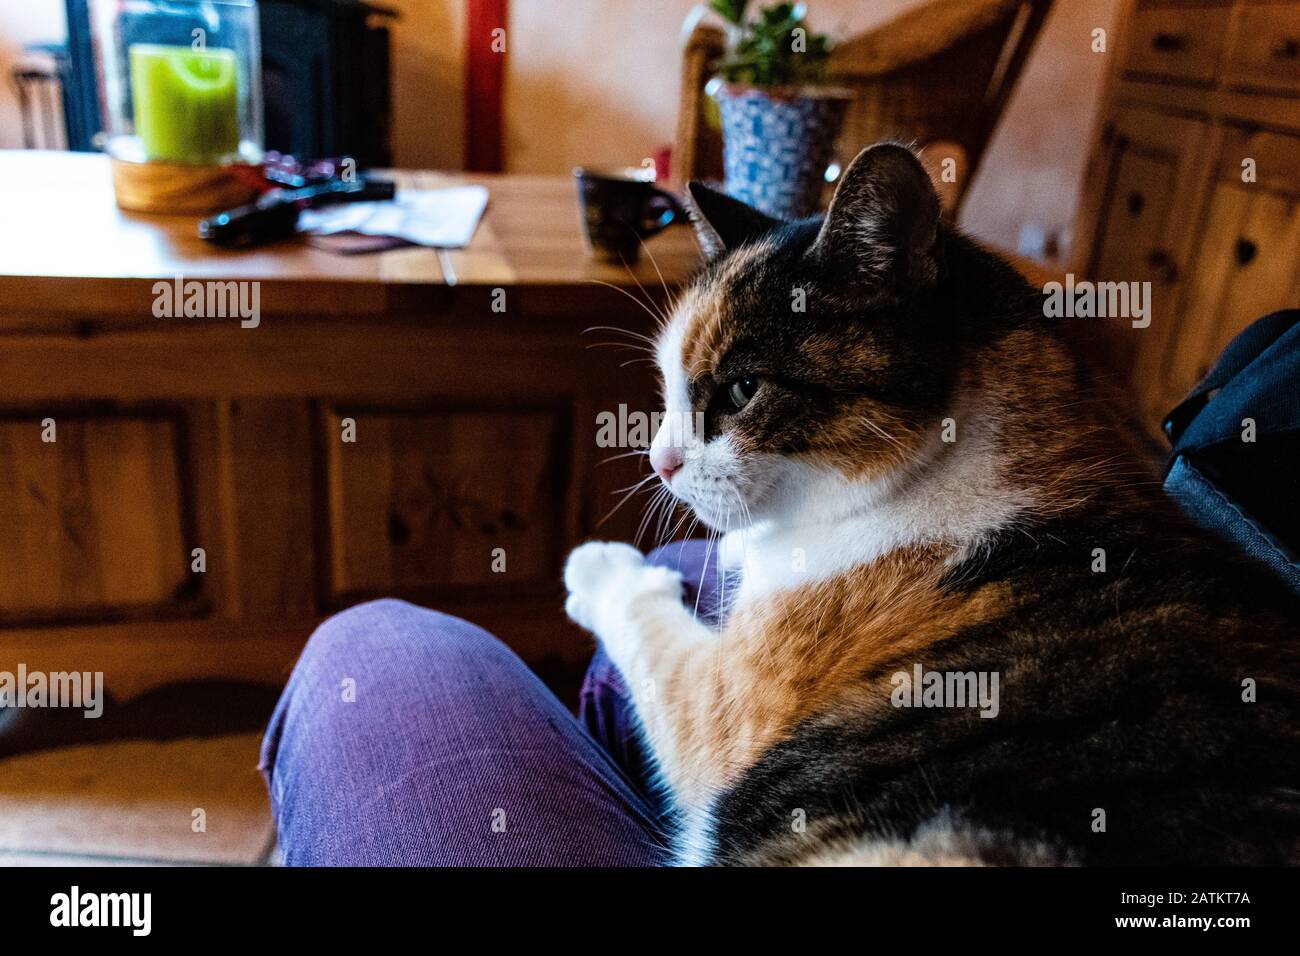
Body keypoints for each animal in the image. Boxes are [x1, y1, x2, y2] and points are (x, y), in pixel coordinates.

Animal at [564, 141, 1300, 868]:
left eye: (743, 390)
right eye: (667, 388)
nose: (659, 463)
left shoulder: (722, 705)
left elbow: (649, 626)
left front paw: (600, 566)